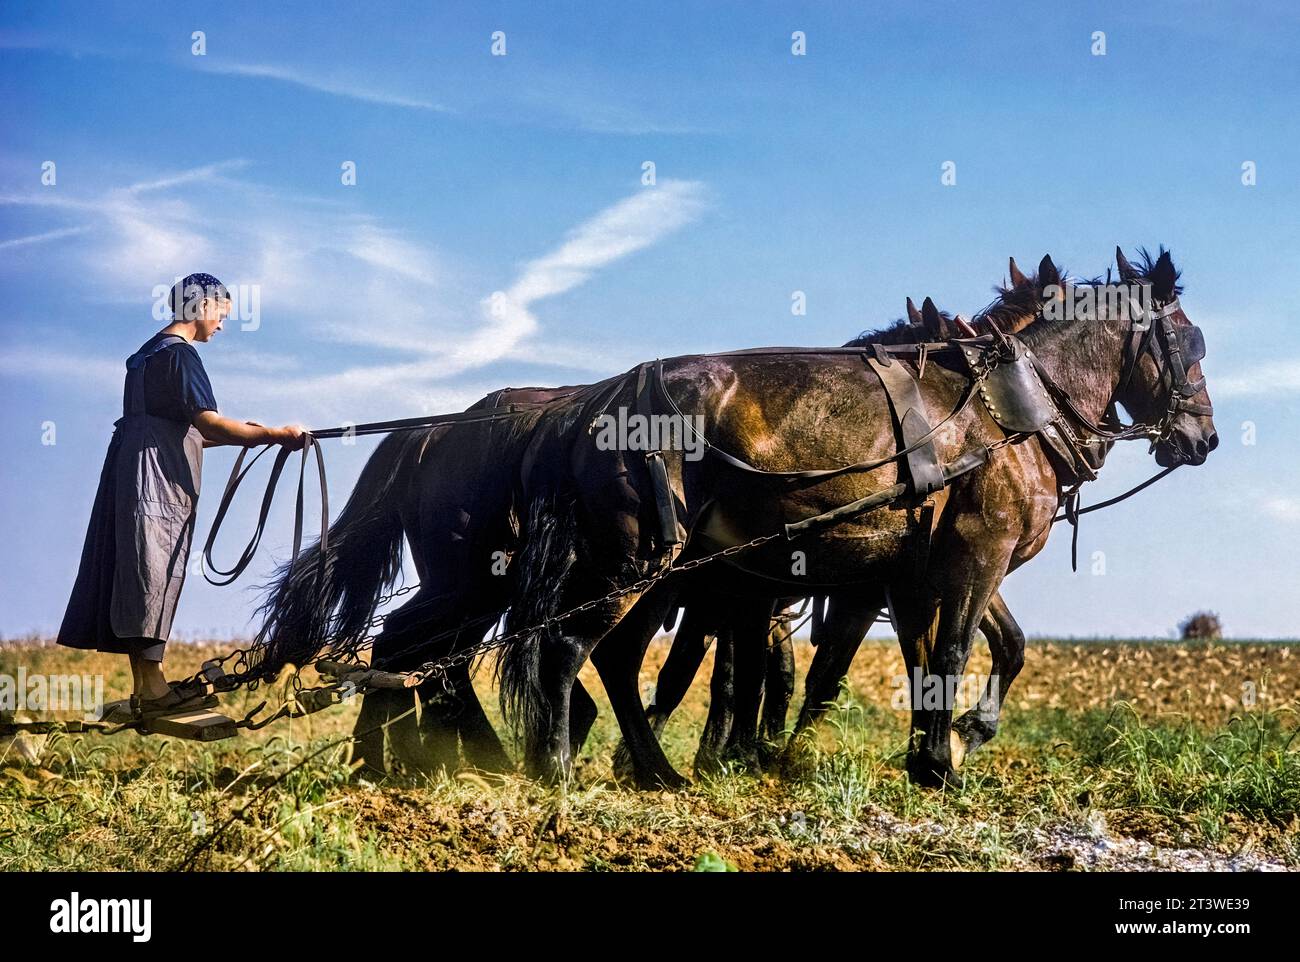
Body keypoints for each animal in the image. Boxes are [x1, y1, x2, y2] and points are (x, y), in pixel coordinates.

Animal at [499, 244, 1216, 785]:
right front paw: (939, 760)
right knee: (572, 647)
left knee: (620, 657)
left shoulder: (922, 570)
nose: (1203, 437)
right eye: (1190, 341)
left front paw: (940, 749)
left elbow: (968, 652)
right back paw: (563, 769)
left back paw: (653, 769)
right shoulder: (973, 554)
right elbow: (941, 652)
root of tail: (599, 401)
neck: (1009, 411)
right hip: (643, 561)